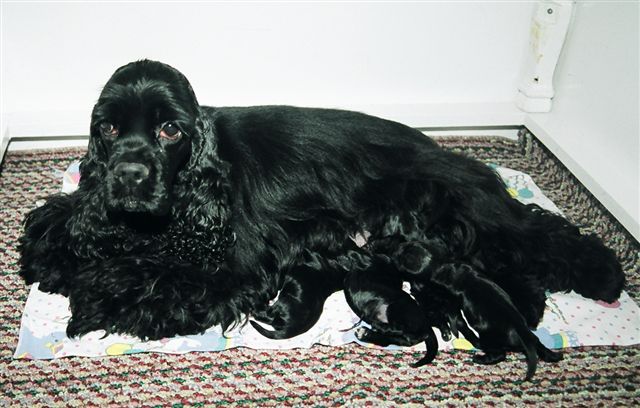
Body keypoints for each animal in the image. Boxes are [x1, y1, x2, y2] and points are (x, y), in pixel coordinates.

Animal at [19, 60, 624, 358]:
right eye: (108, 128)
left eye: (170, 129)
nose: (127, 176)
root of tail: (443, 149)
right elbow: (66, 222)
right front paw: (55, 250)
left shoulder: (231, 265)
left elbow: (148, 280)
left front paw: (92, 296)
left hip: (455, 205)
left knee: (536, 234)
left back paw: (603, 274)